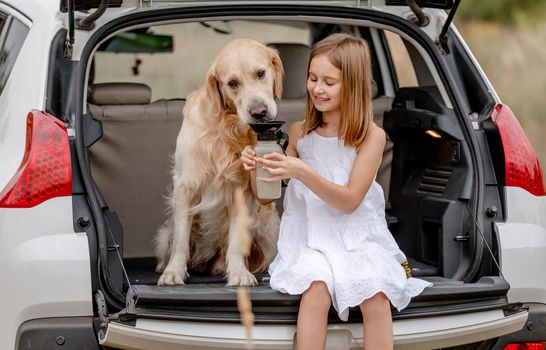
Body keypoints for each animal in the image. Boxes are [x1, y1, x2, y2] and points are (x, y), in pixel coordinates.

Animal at [152, 38, 280, 286]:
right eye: (232, 83)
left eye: (261, 73)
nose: (259, 112)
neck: (225, 128)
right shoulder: (185, 185)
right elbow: (181, 241)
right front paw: (173, 272)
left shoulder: (242, 189)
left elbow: (236, 241)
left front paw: (239, 273)